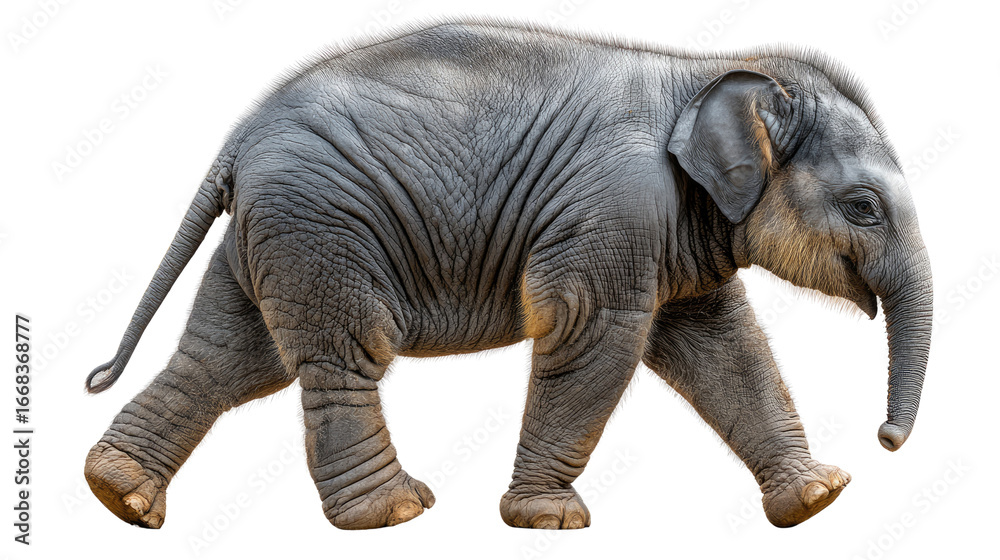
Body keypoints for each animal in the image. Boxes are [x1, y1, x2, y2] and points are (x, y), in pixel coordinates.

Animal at [83, 18, 932, 531]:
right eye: (862, 206)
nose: (887, 439)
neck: (704, 72)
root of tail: (236, 142)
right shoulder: (615, 206)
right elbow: (595, 336)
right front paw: (549, 522)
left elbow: (724, 345)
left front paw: (817, 500)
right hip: (321, 224)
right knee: (342, 354)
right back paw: (396, 514)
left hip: (273, 235)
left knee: (230, 358)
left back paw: (120, 496)